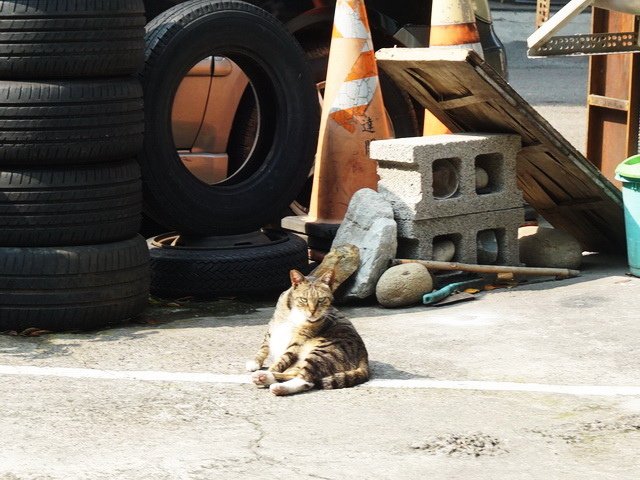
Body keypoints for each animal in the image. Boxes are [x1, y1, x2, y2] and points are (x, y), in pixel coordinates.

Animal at [246, 268, 370, 396]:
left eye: (321, 300)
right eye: (304, 299)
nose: (312, 312)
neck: (297, 312)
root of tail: (363, 355)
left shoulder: (298, 340)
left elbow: (283, 358)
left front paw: (271, 369)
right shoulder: (273, 326)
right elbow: (264, 346)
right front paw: (255, 362)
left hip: (323, 351)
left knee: (306, 379)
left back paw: (271, 381)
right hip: (301, 361)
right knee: (298, 376)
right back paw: (266, 378)